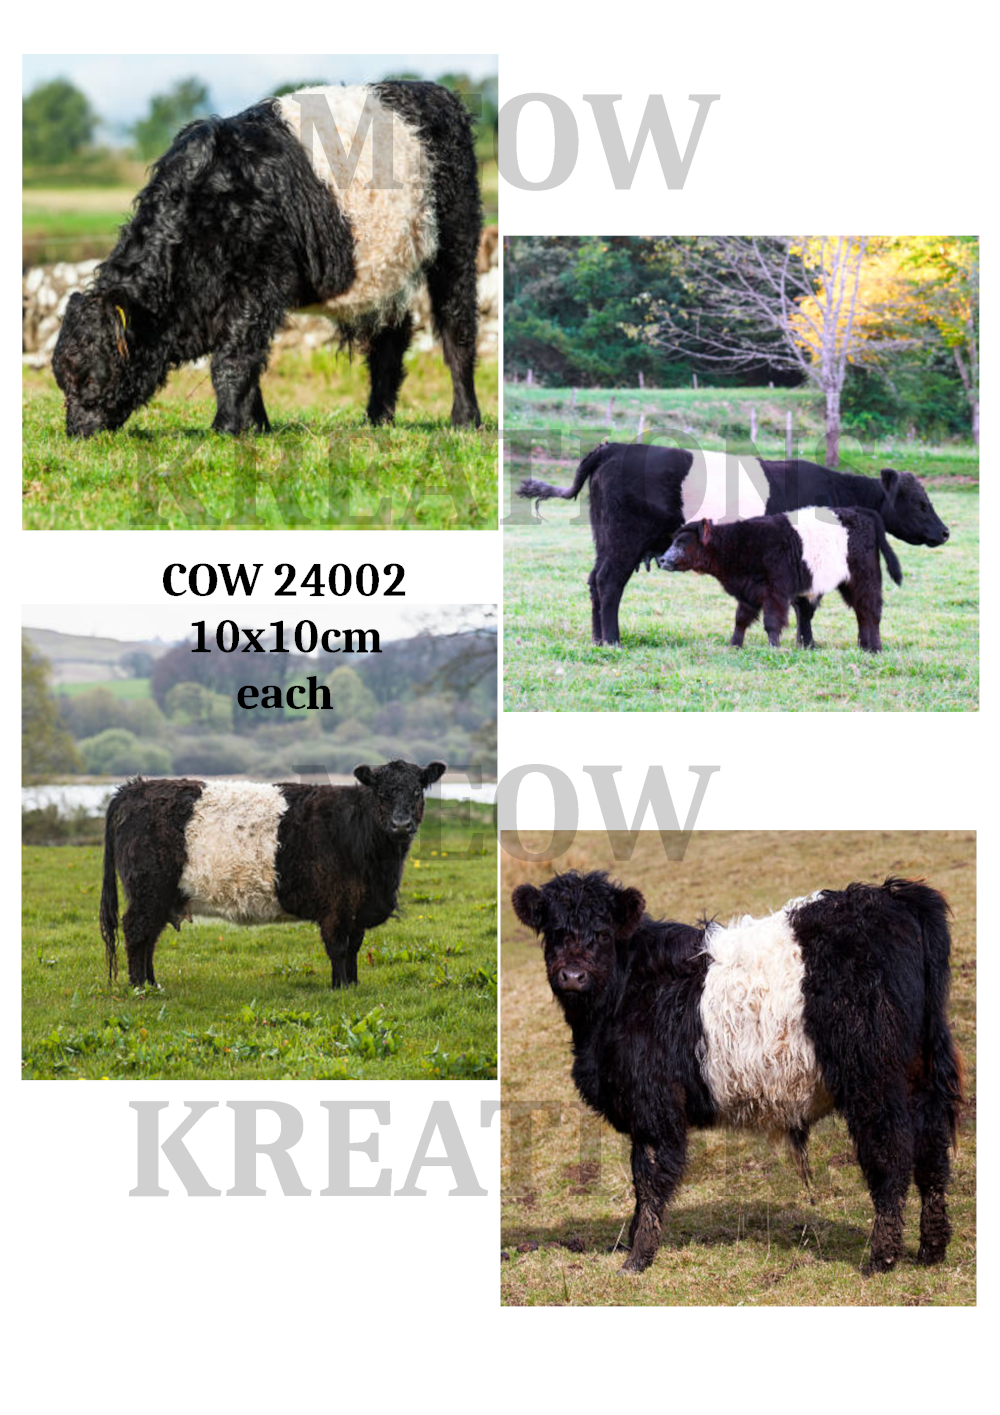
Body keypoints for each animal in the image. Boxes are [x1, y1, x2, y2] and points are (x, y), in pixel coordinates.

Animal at [52, 82, 481, 437]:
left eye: (90, 376)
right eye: (62, 378)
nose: (76, 432)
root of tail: (437, 93)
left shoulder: (260, 287)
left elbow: (232, 361)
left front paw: (225, 428)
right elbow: (249, 364)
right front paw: (255, 426)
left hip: (457, 244)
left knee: (458, 330)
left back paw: (465, 419)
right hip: (389, 275)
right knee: (389, 342)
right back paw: (378, 419)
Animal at [99, 760, 446, 990]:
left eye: (417, 791)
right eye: (382, 793)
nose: (401, 824)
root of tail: (135, 787)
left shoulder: (355, 906)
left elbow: (354, 947)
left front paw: (353, 983)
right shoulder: (335, 908)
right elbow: (337, 947)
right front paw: (339, 987)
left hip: (162, 896)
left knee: (150, 936)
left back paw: (152, 983)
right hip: (149, 890)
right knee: (136, 931)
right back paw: (139, 986)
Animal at [512, 870, 962, 1276]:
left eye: (603, 933)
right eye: (553, 931)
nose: (572, 976)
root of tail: (895, 898)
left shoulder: (654, 1108)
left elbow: (650, 1180)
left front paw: (637, 1259)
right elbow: (642, 1186)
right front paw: (627, 1245)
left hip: (873, 1080)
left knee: (891, 1156)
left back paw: (880, 1259)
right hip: (920, 1078)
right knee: (932, 1154)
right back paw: (932, 1250)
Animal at [658, 505, 903, 652]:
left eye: (681, 543)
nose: (661, 559)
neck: (740, 544)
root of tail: (862, 513)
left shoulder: (775, 592)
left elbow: (772, 622)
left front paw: (773, 648)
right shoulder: (748, 593)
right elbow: (741, 619)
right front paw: (734, 645)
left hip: (865, 579)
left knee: (871, 611)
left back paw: (876, 648)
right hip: (849, 584)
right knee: (861, 612)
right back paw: (864, 646)